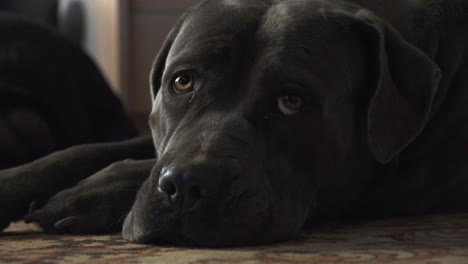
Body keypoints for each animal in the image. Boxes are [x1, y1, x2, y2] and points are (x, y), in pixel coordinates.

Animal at [0, 0, 468, 248]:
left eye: (291, 101)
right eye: (182, 81)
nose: (185, 185)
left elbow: (132, 166)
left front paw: (85, 195)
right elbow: (82, 151)